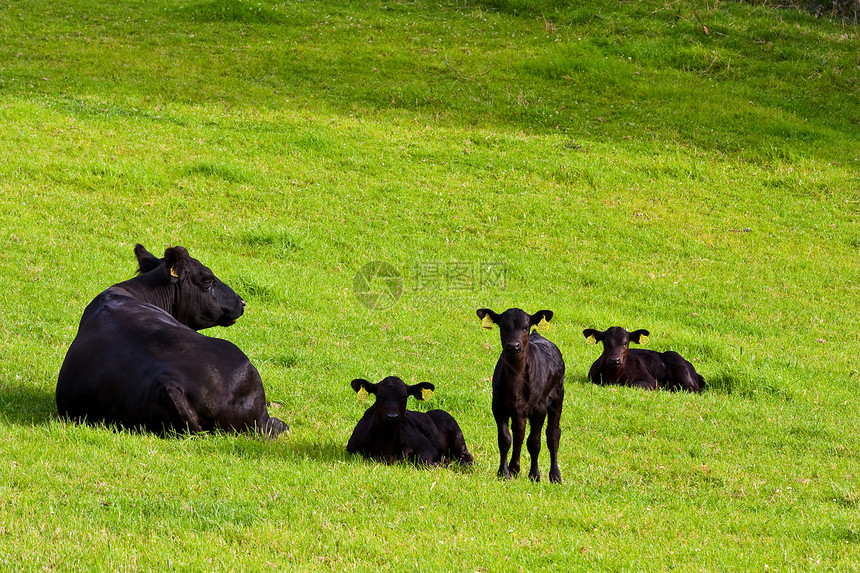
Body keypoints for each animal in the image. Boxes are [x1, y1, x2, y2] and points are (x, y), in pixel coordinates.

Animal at [344, 376, 478, 464]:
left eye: (404, 397)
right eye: (379, 396)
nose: (392, 416)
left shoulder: (426, 447)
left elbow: (422, 461)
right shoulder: (352, 449)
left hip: (458, 440)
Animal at [478, 308, 564, 482]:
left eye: (525, 327)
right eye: (503, 326)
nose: (513, 346)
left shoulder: (539, 408)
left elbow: (534, 442)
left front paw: (535, 475)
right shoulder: (498, 406)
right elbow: (505, 439)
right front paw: (503, 472)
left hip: (557, 398)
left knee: (553, 434)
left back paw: (555, 475)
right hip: (519, 410)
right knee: (519, 432)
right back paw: (514, 468)